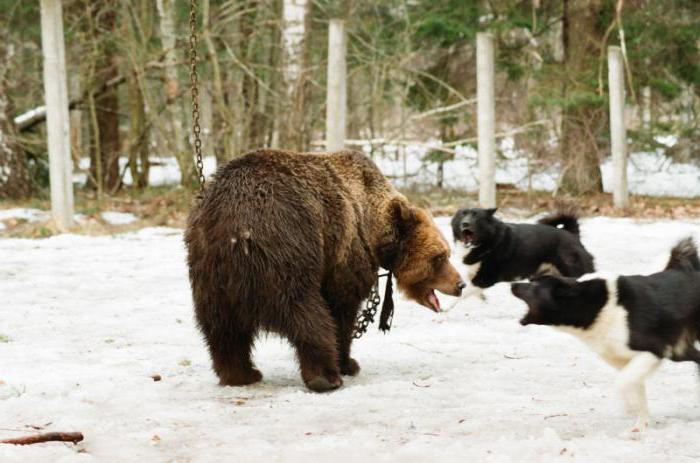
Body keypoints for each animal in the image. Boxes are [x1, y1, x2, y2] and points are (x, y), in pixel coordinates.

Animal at [187, 150, 464, 394]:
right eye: (440, 257)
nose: (460, 284)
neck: (373, 227)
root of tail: (231, 225)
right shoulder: (345, 252)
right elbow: (342, 309)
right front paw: (348, 363)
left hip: (209, 273)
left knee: (221, 328)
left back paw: (241, 374)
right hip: (286, 249)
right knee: (305, 313)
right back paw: (325, 377)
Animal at [452, 208, 592, 300]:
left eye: (476, 217)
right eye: (462, 215)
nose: (465, 223)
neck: (489, 240)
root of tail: (573, 235)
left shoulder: (484, 279)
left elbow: (461, 294)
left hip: (575, 272)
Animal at [512, 237, 700, 434]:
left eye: (534, 286)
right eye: (532, 280)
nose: (513, 285)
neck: (597, 306)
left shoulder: (653, 352)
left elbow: (622, 382)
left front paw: (627, 408)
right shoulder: (629, 361)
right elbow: (636, 391)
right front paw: (639, 427)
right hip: (679, 351)